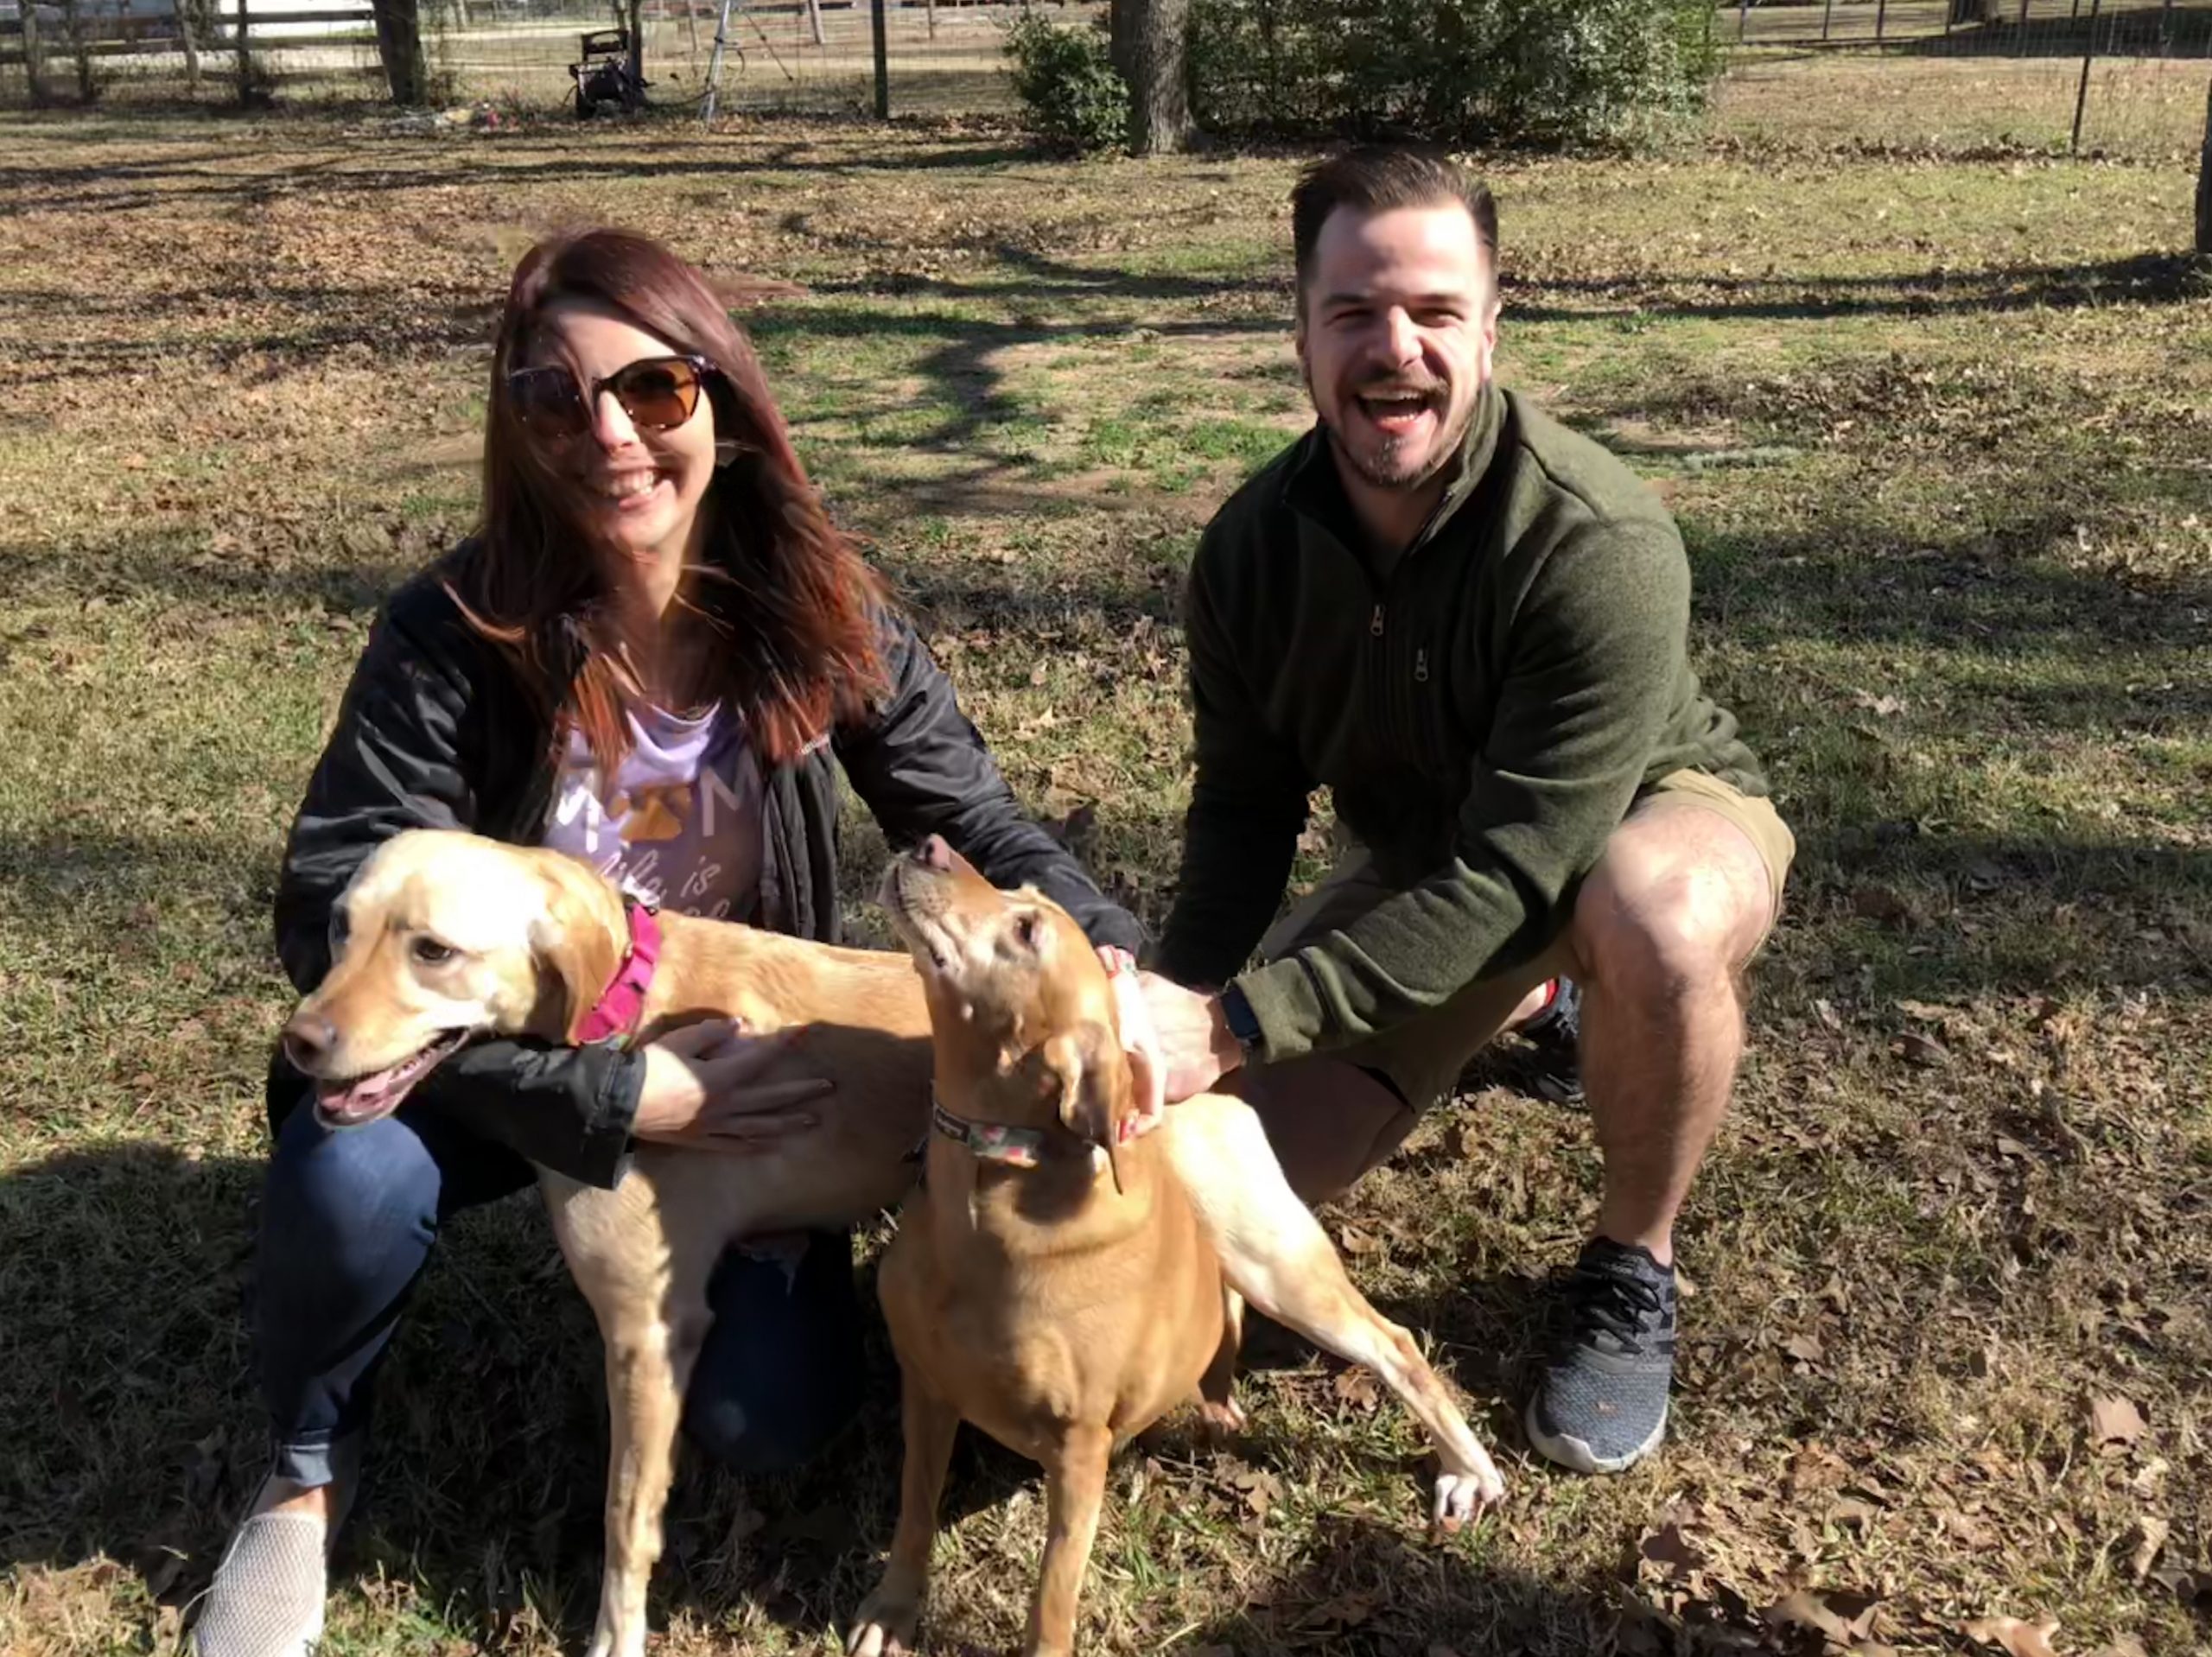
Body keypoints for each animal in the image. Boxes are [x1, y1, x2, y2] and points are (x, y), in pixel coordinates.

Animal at [276, 827, 933, 1654]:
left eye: (433, 950)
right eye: (340, 926)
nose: (299, 1041)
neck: (628, 999)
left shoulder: (647, 1330)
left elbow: (626, 1516)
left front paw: (616, 1634)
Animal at [849, 841, 1503, 1654]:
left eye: (1028, 929)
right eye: (1014, 891)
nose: (931, 846)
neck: (983, 1198)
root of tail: (1208, 1084)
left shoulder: (1079, 1451)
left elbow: (1051, 1601)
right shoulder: (928, 1386)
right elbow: (913, 1514)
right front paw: (895, 1608)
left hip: (1274, 1262)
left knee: (1397, 1345)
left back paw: (1468, 1466)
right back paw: (1218, 1404)